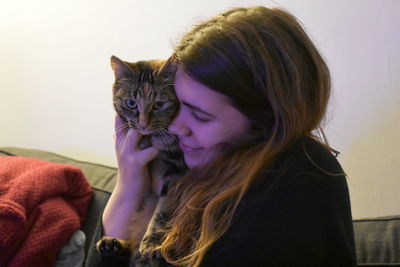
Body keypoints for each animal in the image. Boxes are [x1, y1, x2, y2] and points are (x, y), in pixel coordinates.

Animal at [97, 55, 186, 266]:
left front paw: (152, 242)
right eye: (131, 103)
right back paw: (111, 246)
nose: (144, 124)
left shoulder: (177, 169)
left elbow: (163, 209)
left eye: (159, 105)